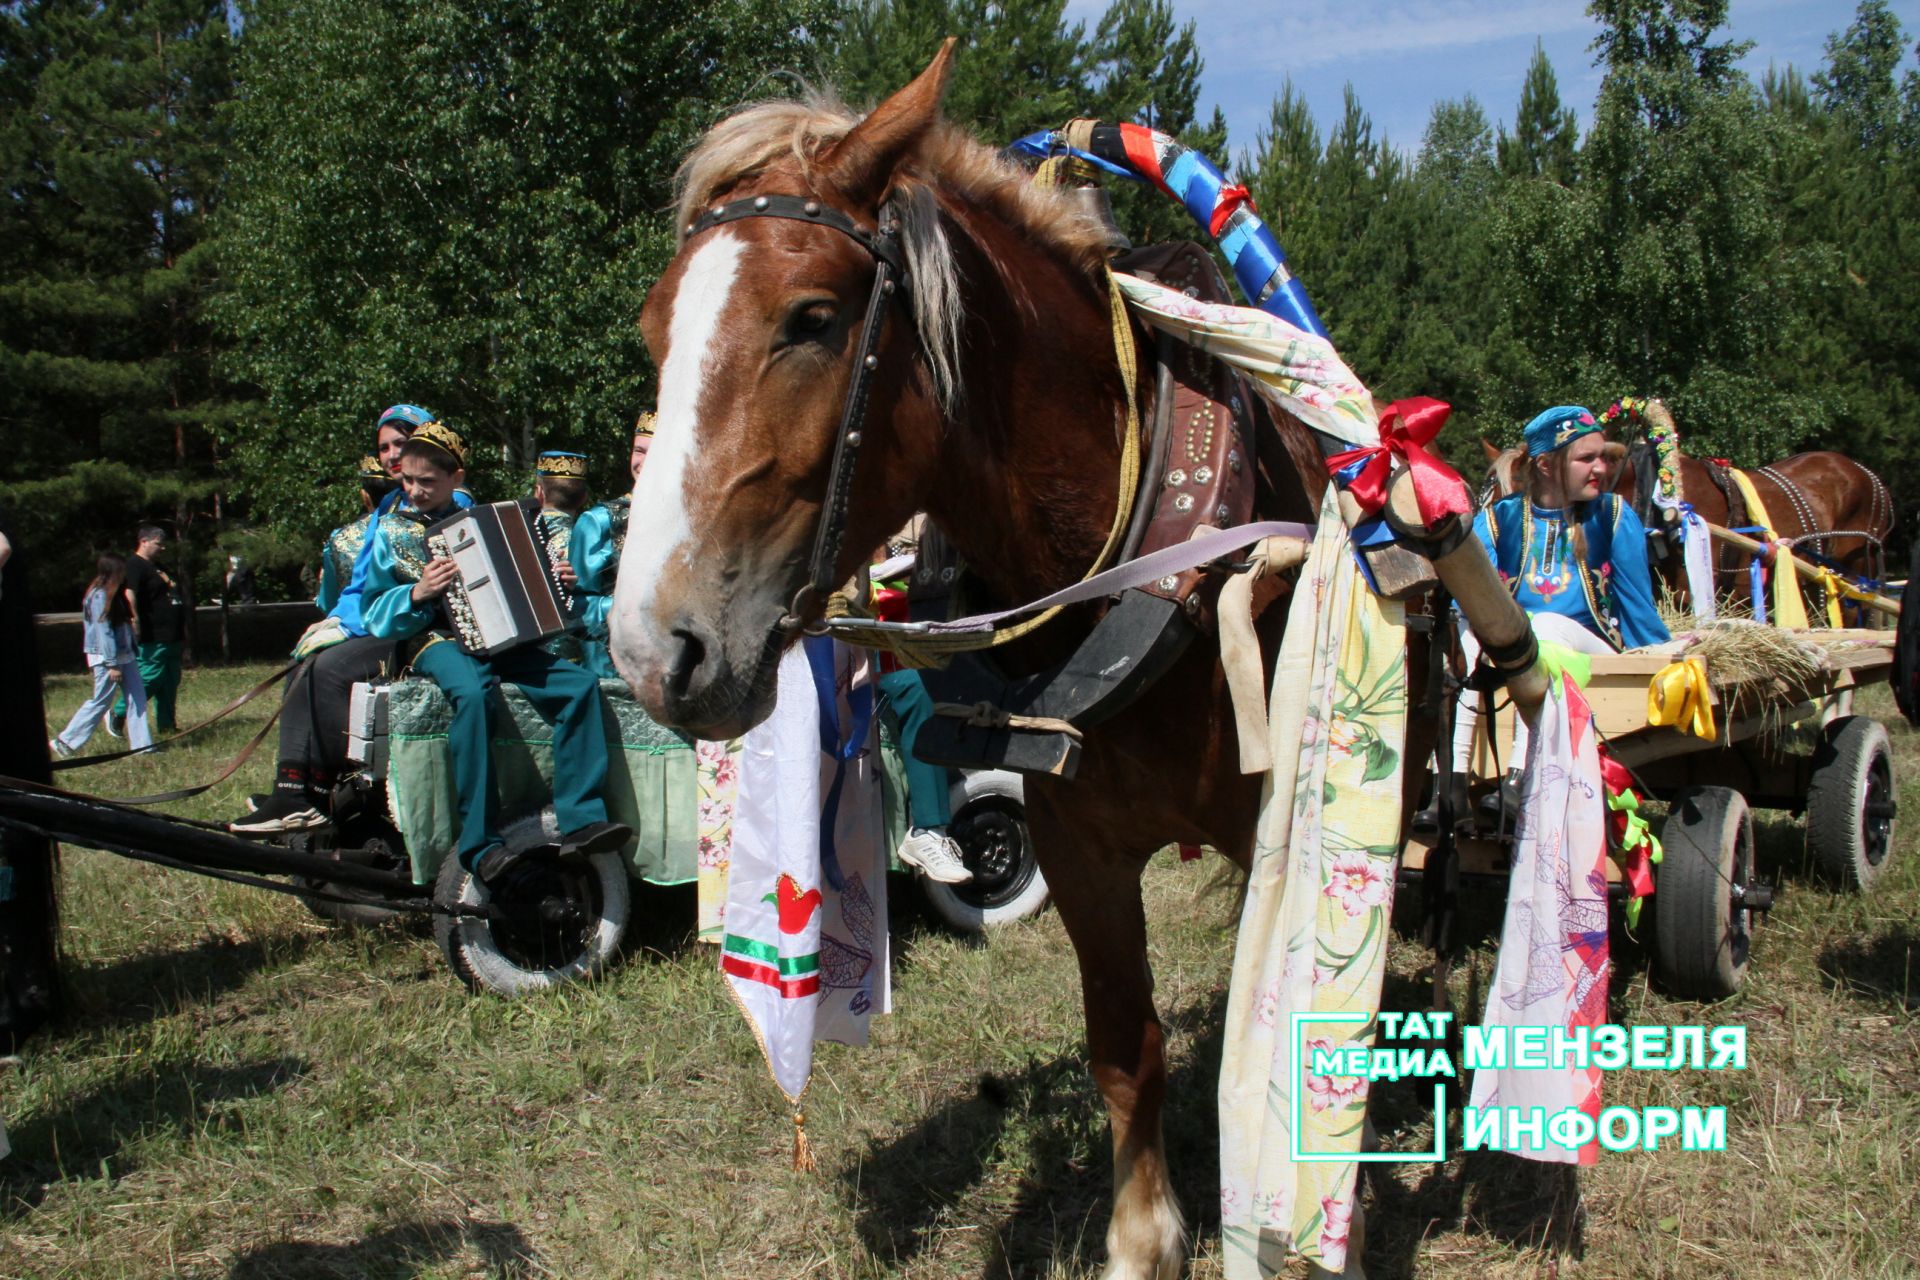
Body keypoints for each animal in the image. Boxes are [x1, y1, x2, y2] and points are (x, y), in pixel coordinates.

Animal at [606, 40, 1436, 1280]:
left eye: (811, 316)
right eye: (658, 329)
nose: (655, 648)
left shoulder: (1283, 824)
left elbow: (1295, 1011)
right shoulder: (1077, 843)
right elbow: (1125, 1045)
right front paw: (1145, 1237)